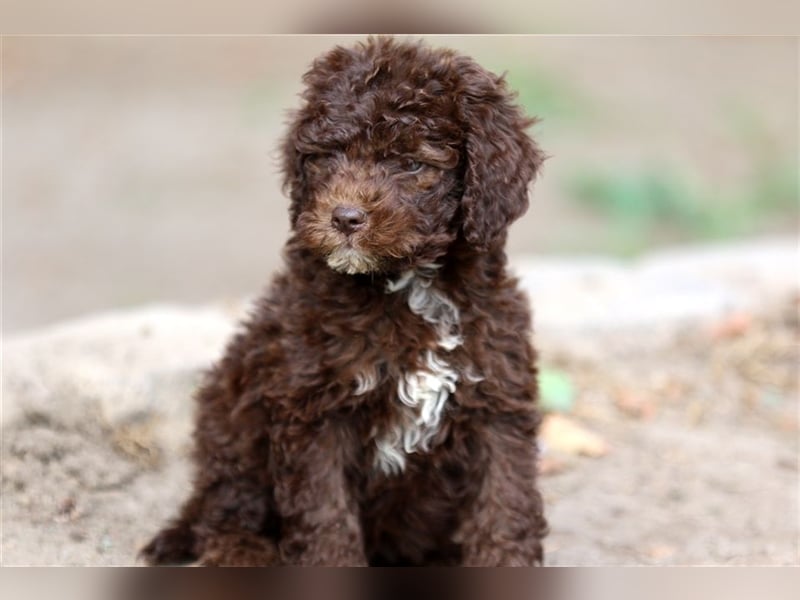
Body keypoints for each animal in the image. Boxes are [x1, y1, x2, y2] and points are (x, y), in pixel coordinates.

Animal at [141, 36, 548, 568]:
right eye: (328, 156)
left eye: (412, 163)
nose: (345, 217)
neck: (409, 285)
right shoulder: (313, 406)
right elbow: (324, 514)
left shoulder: (497, 398)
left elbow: (504, 506)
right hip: (231, 410)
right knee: (225, 509)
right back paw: (242, 553)